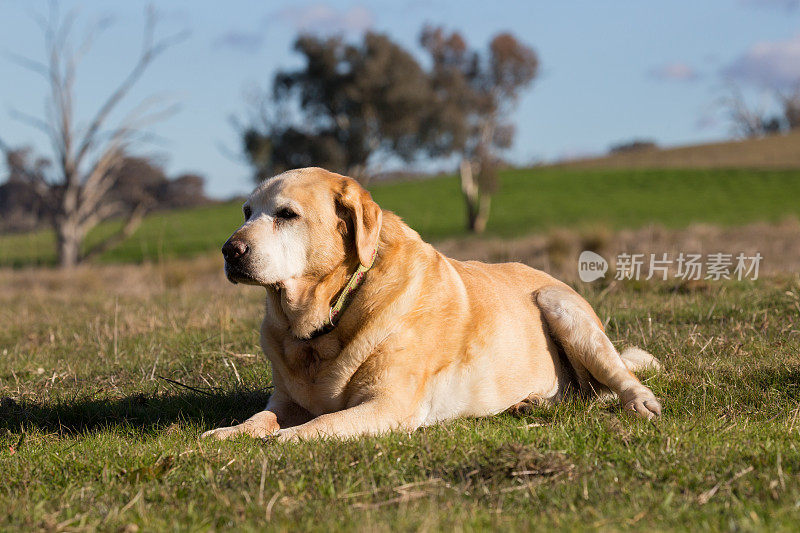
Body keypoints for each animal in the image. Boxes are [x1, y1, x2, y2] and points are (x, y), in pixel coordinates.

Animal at [202, 167, 664, 440]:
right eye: (246, 211)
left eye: (286, 214)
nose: (229, 250)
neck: (326, 319)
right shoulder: (285, 401)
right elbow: (260, 419)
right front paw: (228, 435)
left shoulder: (388, 404)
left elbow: (319, 425)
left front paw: (278, 440)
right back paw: (528, 403)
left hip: (562, 307)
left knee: (616, 381)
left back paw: (639, 402)